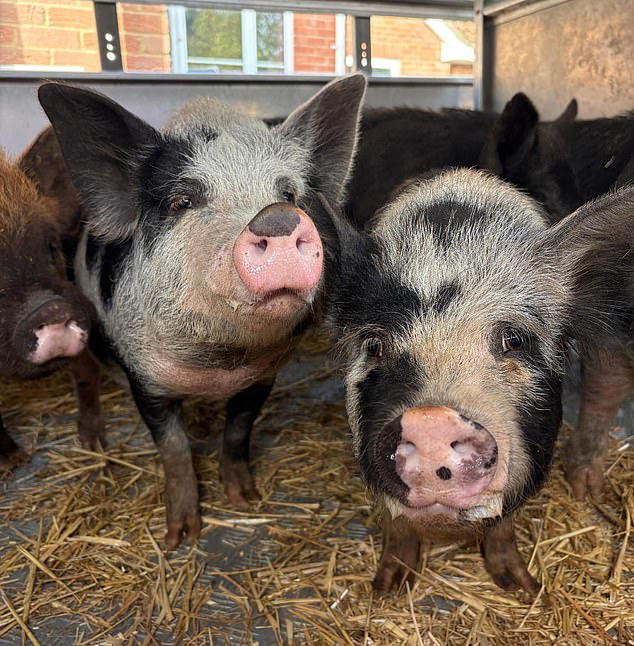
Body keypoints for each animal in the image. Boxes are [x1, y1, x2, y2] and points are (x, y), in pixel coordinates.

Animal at [38, 75, 367, 548]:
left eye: (289, 193)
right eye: (183, 201)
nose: (279, 217)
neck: (216, 368)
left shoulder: (262, 378)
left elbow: (238, 432)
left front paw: (246, 501)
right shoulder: (145, 380)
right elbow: (173, 448)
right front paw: (180, 536)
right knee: (84, 376)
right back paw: (93, 442)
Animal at [323, 168, 634, 593]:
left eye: (514, 339)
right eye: (373, 344)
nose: (431, 420)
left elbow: (503, 524)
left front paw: (522, 586)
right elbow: (396, 524)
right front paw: (387, 588)